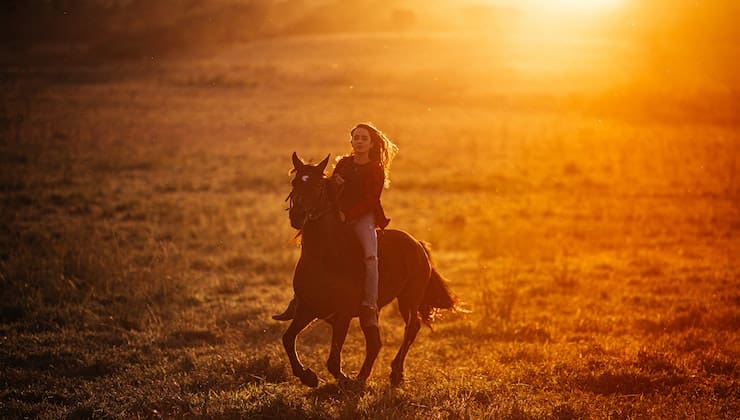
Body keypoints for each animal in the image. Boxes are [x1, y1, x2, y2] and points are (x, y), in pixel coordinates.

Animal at [280, 153, 460, 386]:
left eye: (318, 184)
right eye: (295, 182)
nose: (297, 215)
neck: (325, 257)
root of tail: (417, 244)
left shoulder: (343, 313)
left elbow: (333, 361)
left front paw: (343, 379)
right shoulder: (307, 308)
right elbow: (288, 339)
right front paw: (308, 376)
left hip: (409, 298)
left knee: (411, 329)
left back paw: (394, 373)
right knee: (376, 341)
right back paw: (366, 375)